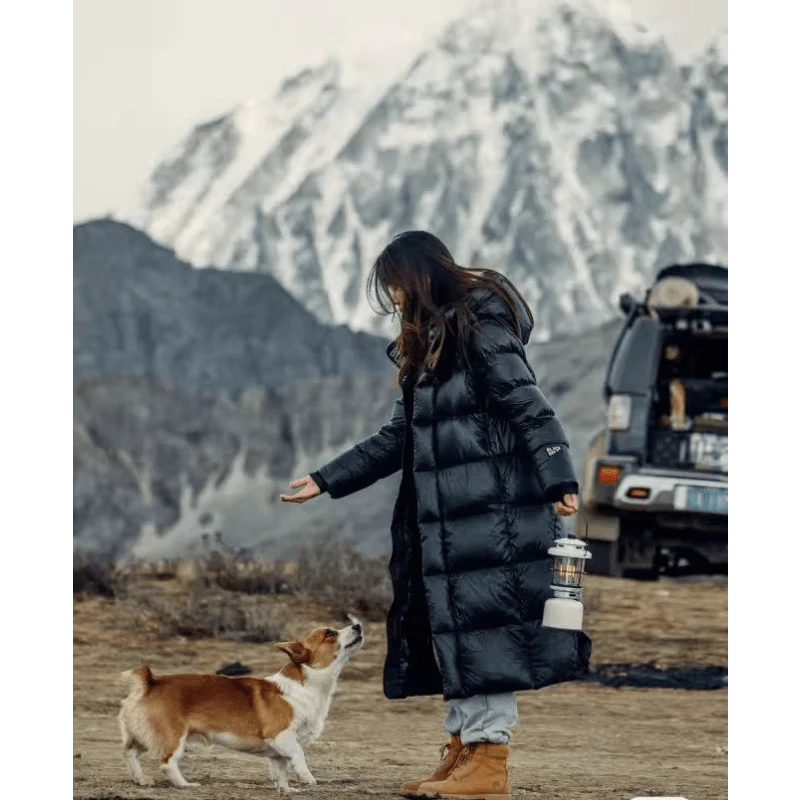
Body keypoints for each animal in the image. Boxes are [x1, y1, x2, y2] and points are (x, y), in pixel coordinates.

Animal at [117, 616, 364, 792]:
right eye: (329, 633)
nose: (358, 625)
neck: (307, 686)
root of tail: (150, 682)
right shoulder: (282, 736)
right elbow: (299, 756)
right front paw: (306, 778)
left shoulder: (278, 751)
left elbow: (281, 771)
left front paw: (286, 790)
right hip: (174, 737)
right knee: (167, 762)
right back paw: (185, 784)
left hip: (144, 736)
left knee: (130, 753)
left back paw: (142, 779)